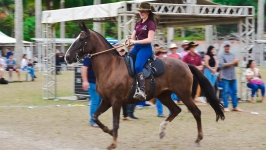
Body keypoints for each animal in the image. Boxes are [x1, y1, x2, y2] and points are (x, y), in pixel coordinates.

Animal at [65, 22, 224, 149]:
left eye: (82, 39)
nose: (67, 57)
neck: (110, 67)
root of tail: (185, 64)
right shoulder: (106, 101)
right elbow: (95, 116)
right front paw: (109, 131)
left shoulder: (116, 102)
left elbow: (115, 122)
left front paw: (113, 143)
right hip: (164, 95)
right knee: (175, 110)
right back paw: (162, 131)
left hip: (183, 94)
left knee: (196, 112)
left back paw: (198, 139)